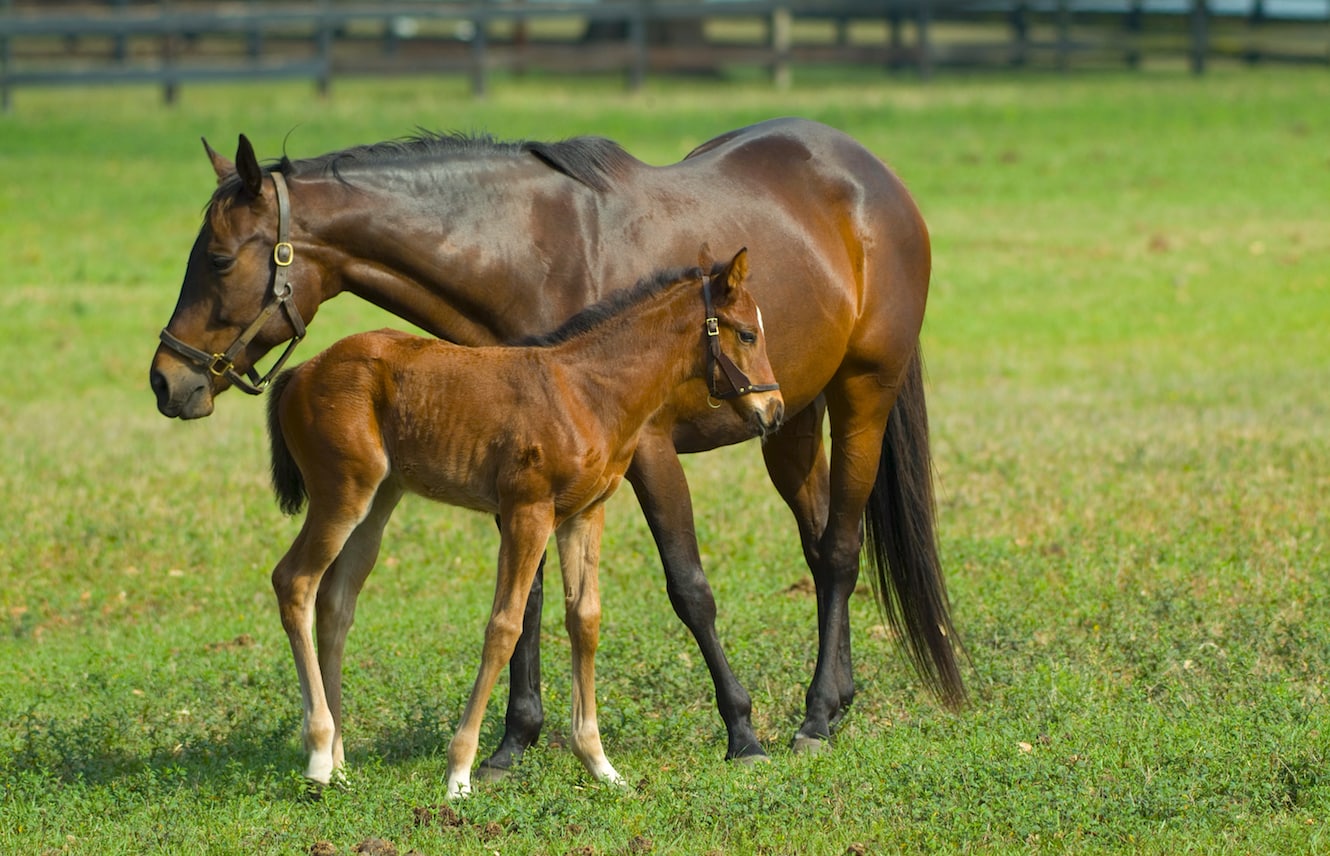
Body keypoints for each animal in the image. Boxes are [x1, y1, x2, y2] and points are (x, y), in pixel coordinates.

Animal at [262, 247, 776, 797]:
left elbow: (584, 620)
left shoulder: (584, 514)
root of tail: (302, 370)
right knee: (295, 581)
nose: (774, 409)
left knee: (337, 602)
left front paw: (600, 764)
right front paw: (460, 772)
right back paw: (318, 755)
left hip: (379, 499)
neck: (587, 391)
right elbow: (505, 625)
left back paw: (338, 763)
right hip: (342, 493)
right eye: (747, 334)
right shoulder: (528, 510)